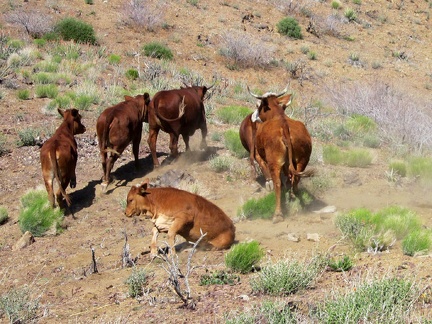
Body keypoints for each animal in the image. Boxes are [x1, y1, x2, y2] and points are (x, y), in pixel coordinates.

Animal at [243, 86, 314, 223]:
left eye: (259, 106)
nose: (254, 117)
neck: (277, 115)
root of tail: (284, 128)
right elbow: (289, 177)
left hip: (274, 162)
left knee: (278, 184)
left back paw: (278, 214)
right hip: (303, 159)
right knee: (296, 178)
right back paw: (294, 195)